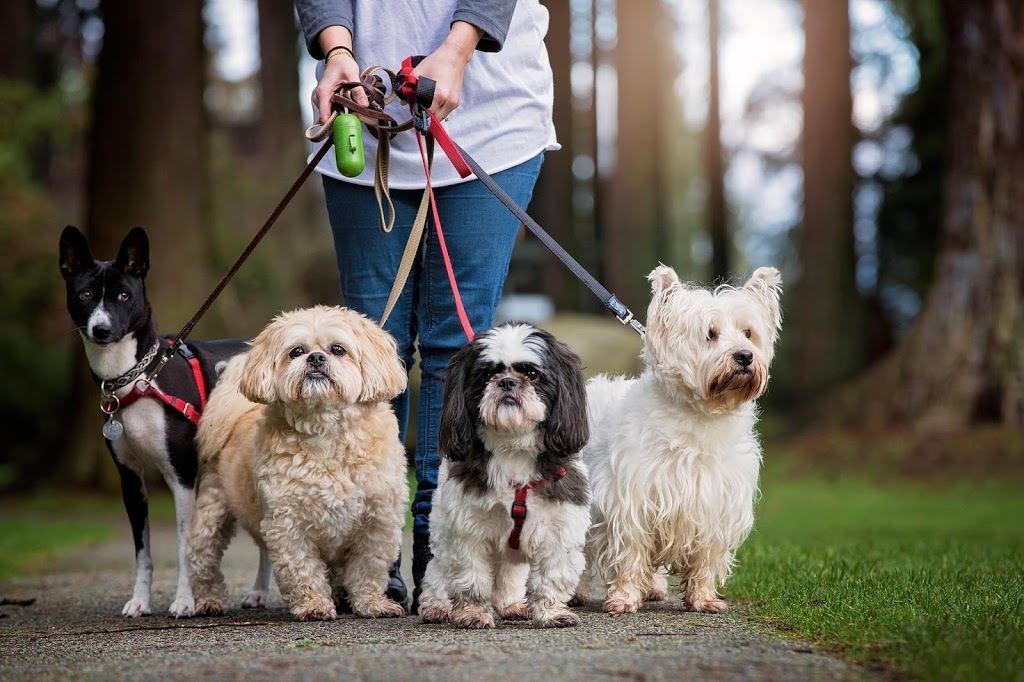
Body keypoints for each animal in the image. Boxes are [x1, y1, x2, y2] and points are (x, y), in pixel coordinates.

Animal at [58, 224, 262, 614]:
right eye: (85, 294)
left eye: (124, 295)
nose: (101, 329)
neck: (137, 379)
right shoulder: (130, 480)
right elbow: (143, 554)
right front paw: (139, 601)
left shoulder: (181, 476)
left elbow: (183, 547)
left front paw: (184, 601)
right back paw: (259, 591)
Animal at [186, 305, 409, 618]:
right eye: (296, 351)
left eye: (338, 349)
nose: (315, 357)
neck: (326, 430)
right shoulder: (289, 524)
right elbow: (301, 568)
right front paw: (314, 605)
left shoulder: (378, 522)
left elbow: (368, 569)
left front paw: (372, 603)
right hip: (212, 511)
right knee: (202, 559)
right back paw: (208, 601)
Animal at [417, 323, 593, 626]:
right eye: (487, 374)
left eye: (532, 374)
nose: (508, 382)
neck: (513, 447)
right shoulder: (469, 528)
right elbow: (471, 579)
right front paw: (473, 613)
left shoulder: (559, 525)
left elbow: (551, 577)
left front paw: (551, 612)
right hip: (441, 527)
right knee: (438, 569)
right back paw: (436, 606)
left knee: (509, 571)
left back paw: (510, 604)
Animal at [577, 262, 782, 614]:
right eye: (710, 334)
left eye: (748, 333)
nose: (744, 356)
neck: (700, 416)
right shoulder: (631, 499)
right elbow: (630, 551)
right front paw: (624, 598)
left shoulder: (712, 503)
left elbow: (706, 556)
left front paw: (703, 598)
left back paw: (654, 589)